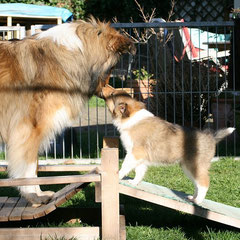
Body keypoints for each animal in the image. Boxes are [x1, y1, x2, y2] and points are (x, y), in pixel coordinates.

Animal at [0, 18, 135, 204]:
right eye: (112, 69)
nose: (109, 90)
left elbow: (34, 164)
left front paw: (37, 194)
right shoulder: (30, 129)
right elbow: (29, 166)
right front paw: (35, 196)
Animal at [101, 85, 234, 203]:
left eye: (112, 94)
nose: (103, 85)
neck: (130, 118)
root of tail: (211, 137)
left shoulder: (135, 153)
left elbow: (125, 166)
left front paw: (118, 176)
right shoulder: (140, 156)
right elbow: (139, 171)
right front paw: (134, 182)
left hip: (196, 165)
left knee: (204, 183)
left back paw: (198, 201)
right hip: (188, 167)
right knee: (197, 183)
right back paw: (192, 198)